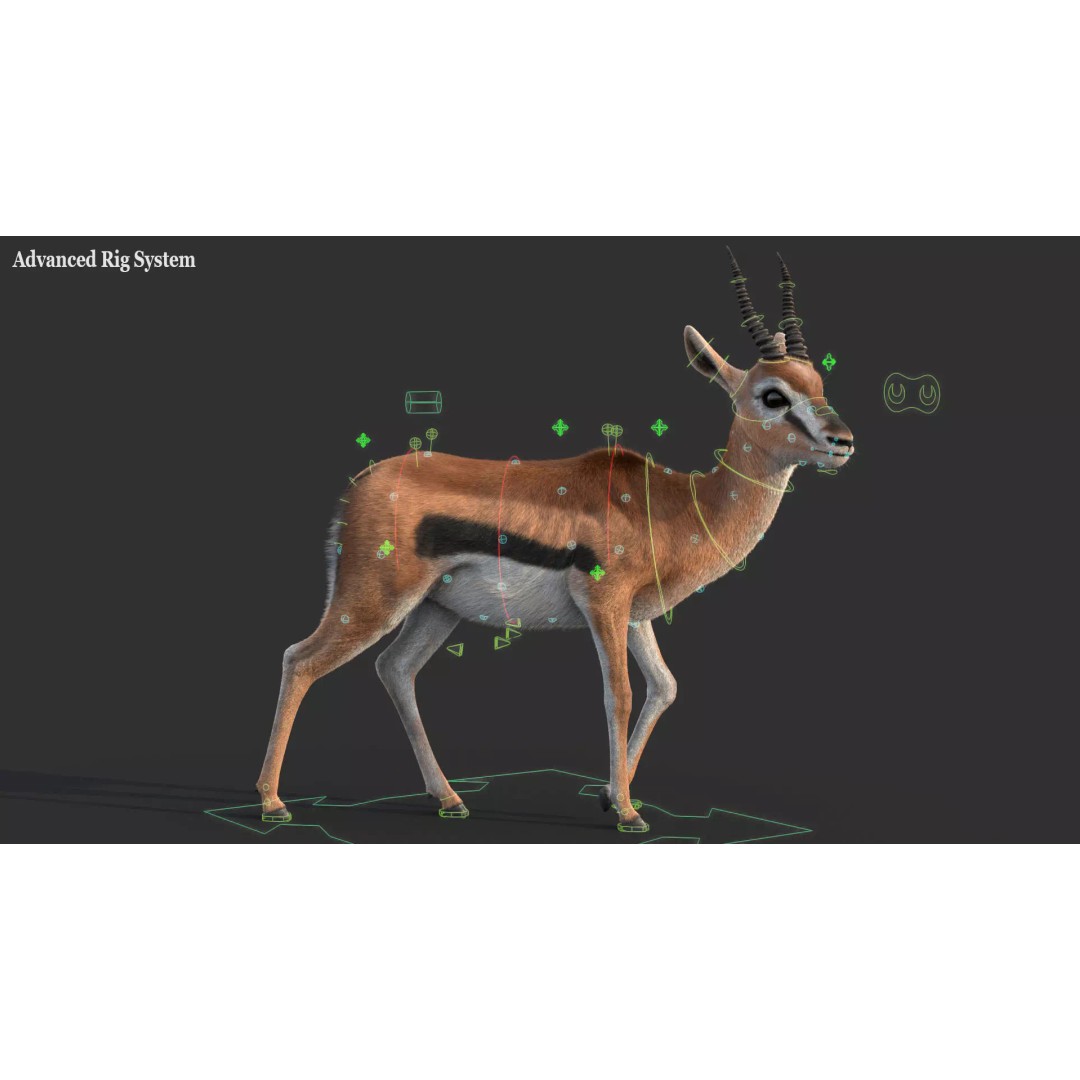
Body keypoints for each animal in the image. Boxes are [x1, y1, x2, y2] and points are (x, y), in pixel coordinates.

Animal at [257, 251, 854, 834]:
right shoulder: (604, 604)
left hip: (435, 609)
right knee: (299, 659)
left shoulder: (636, 615)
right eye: (773, 396)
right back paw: (272, 803)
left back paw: (449, 799)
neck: (679, 504)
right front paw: (630, 813)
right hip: (373, 601)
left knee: (395, 669)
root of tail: (356, 489)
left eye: (819, 386)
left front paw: (611, 797)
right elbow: (619, 694)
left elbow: (664, 688)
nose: (842, 442)